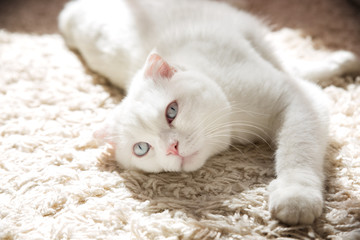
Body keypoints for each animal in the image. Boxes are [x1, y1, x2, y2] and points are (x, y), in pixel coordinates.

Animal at [57, 0, 356, 225]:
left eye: (172, 111)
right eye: (141, 148)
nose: (172, 148)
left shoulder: (298, 99)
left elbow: (298, 148)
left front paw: (296, 197)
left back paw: (345, 61)